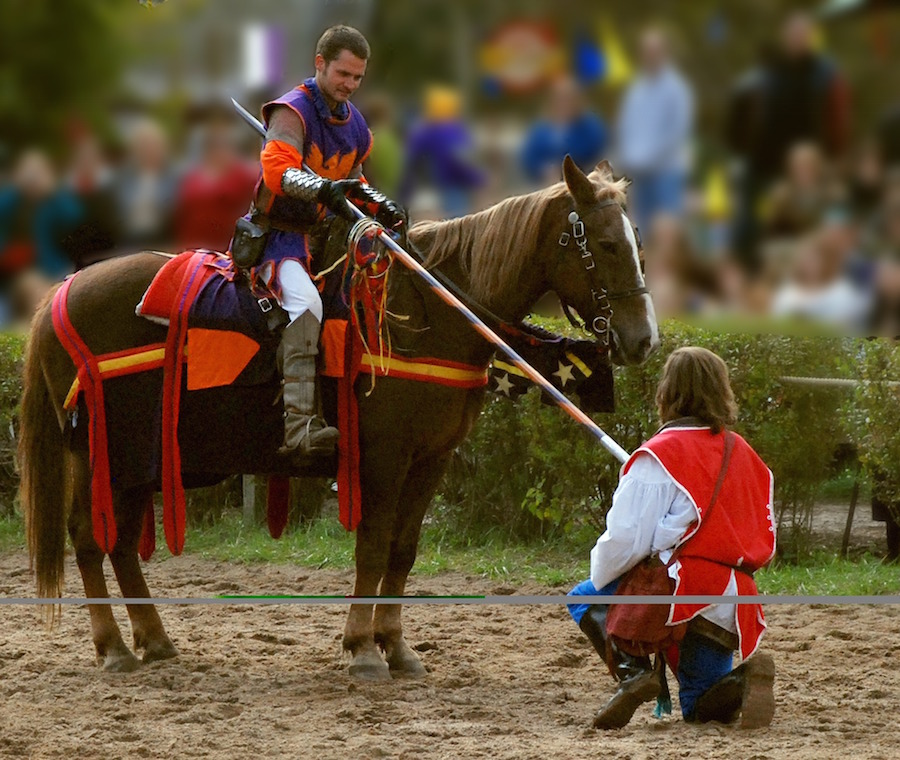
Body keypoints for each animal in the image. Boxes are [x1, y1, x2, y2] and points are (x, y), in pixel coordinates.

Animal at [17, 157, 656, 680]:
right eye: (604, 243)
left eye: (636, 241)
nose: (643, 339)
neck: (426, 311)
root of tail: (64, 292)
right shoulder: (384, 459)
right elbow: (372, 547)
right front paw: (364, 648)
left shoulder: (431, 460)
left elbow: (403, 550)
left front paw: (396, 646)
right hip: (100, 453)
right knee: (89, 537)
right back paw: (114, 648)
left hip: (131, 462)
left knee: (120, 543)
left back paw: (153, 640)